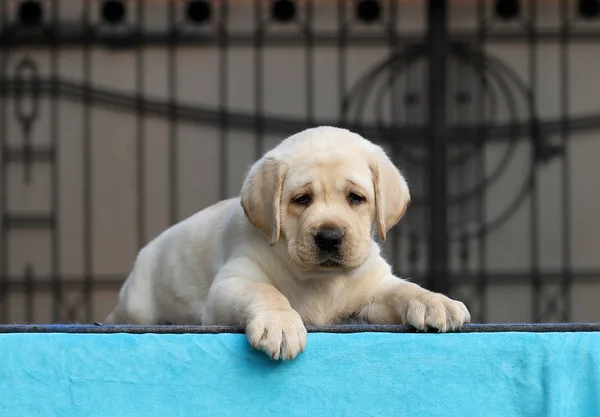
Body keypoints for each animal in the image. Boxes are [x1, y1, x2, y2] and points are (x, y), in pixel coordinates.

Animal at [105, 126, 472, 358]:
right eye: (301, 199)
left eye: (356, 198)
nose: (329, 237)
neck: (320, 280)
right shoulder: (232, 282)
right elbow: (266, 291)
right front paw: (279, 324)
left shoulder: (371, 292)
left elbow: (402, 289)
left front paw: (434, 301)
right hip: (139, 303)